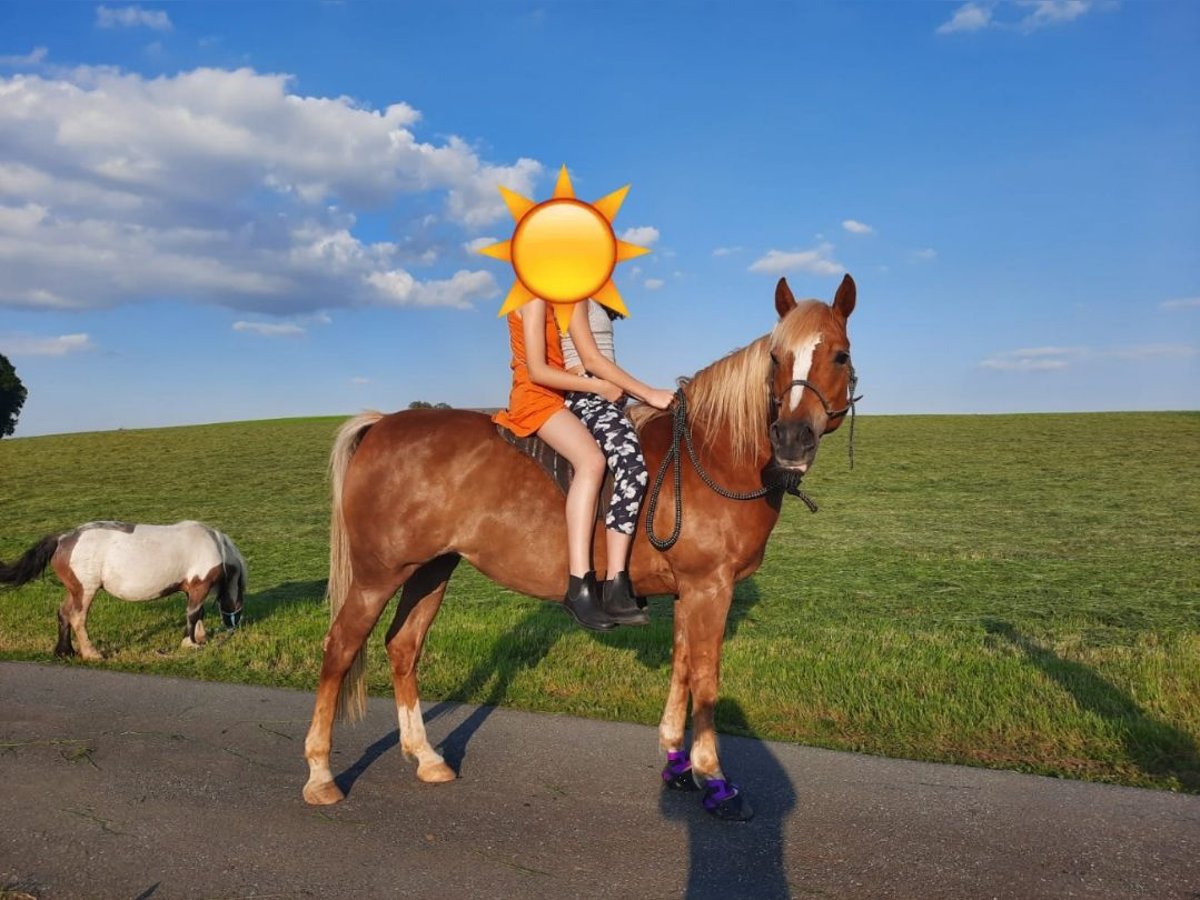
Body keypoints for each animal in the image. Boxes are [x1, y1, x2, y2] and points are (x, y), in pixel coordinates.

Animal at [0, 518, 248, 657]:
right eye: (241, 593)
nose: (235, 626)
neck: (214, 545)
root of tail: (62, 539)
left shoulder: (191, 589)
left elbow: (198, 613)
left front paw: (200, 637)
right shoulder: (199, 587)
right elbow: (193, 614)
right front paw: (191, 644)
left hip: (74, 590)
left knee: (63, 613)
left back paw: (65, 651)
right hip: (85, 591)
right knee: (77, 618)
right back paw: (92, 654)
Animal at [304, 273, 859, 816]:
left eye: (839, 355)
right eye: (776, 358)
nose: (791, 438)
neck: (712, 453)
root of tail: (382, 423)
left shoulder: (690, 592)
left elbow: (681, 667)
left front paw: (678, 764)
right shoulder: (709, 588)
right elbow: (705, 679)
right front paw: (714, 778)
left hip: (431, 569)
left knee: (403, 648)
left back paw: (425, 756)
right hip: (377, 574)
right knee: (339, 648)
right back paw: (320, 774)